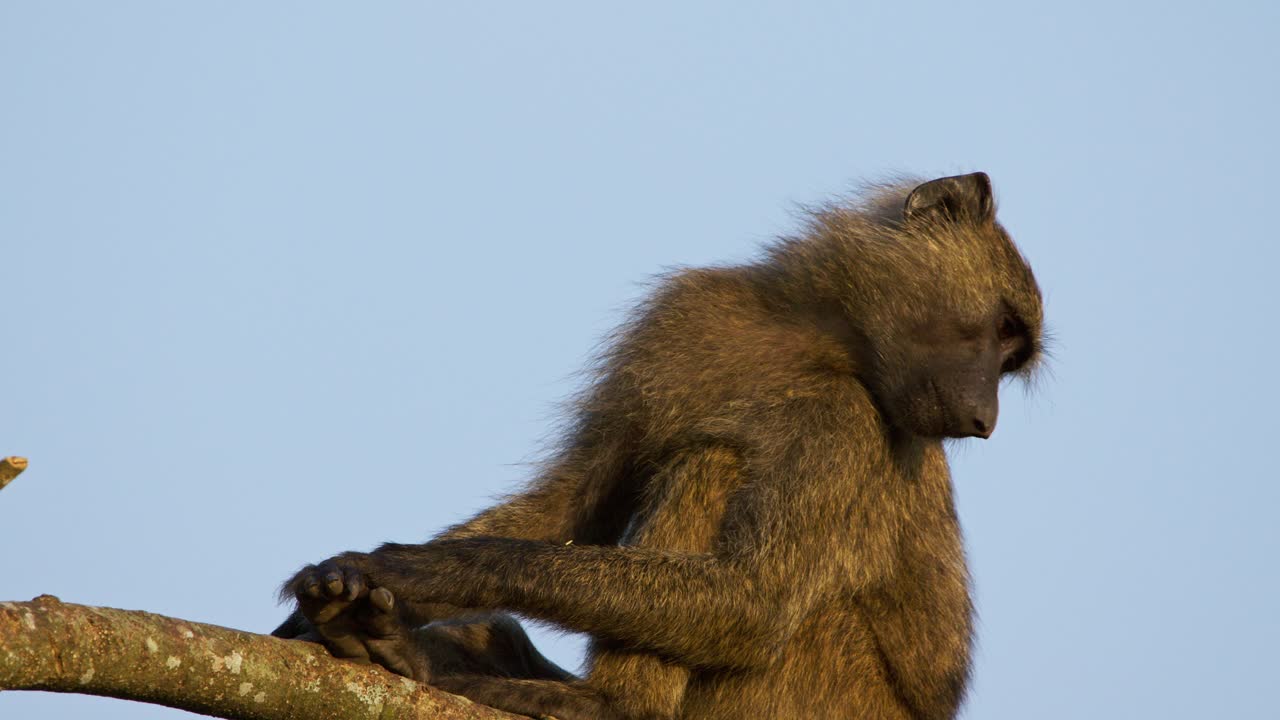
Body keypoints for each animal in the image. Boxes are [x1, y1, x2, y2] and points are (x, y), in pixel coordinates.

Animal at [274, 172, 1045, 720]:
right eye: (1002, 329)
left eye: (1012, 350)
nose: (984, 417)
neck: (816, 336)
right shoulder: (683, 315)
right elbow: (572, 504)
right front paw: (340, 608)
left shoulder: (842, 425)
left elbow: (752, 604)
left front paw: (426, 571)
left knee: (713, 462)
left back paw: (607, 705)